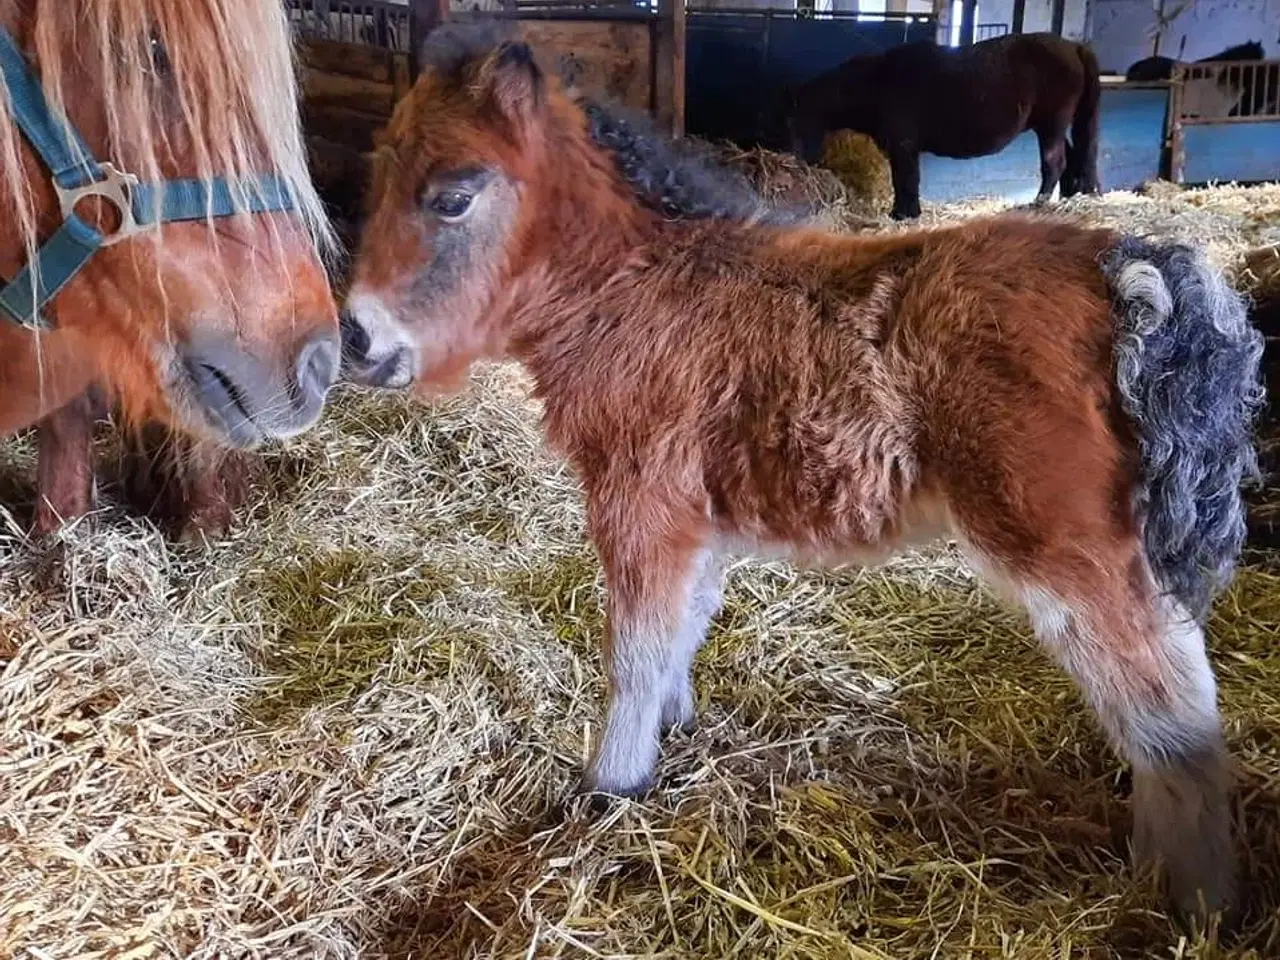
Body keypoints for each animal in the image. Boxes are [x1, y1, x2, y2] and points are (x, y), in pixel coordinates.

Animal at [768, 32, 1100, 220]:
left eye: (794, 119)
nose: (794, 160)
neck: (875, 84)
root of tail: (1074, 47)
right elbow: (903, 181)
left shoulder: (903, 146)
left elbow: (906, 180)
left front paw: (904, 215)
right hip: (1050, 126)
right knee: (1073, 157)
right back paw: (1067, 198)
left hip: (1051, 124)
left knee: (1054, 162)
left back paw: (1040, 203)